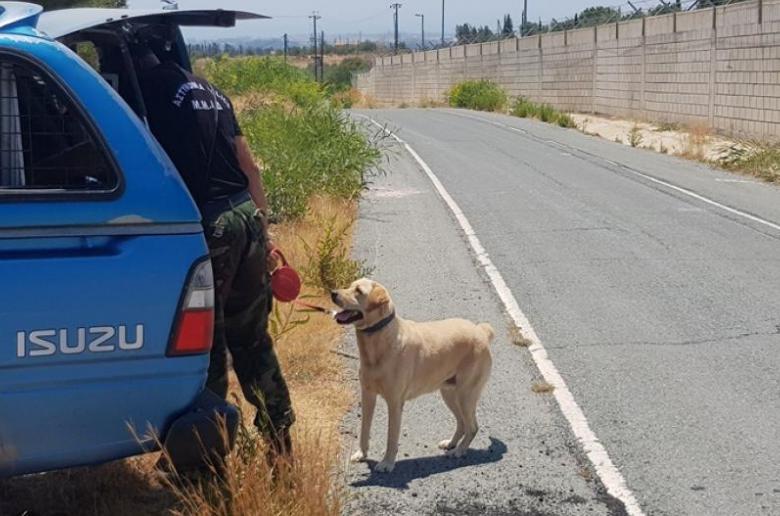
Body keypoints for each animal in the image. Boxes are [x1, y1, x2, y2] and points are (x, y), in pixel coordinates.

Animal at [330, 278, 494, 472]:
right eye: (349, 286)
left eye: (358, 291)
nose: (333, 293)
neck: (379, 341)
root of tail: (481, 331)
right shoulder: (368, 395)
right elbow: (364, 429)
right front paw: (361, 454)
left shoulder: (395, 403)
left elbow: (391, 437)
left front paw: (387, 463)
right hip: (449, 393)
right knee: (462, 423)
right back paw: (451, 444)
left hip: (466, 395)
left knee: (472, 427)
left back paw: (459, 451)